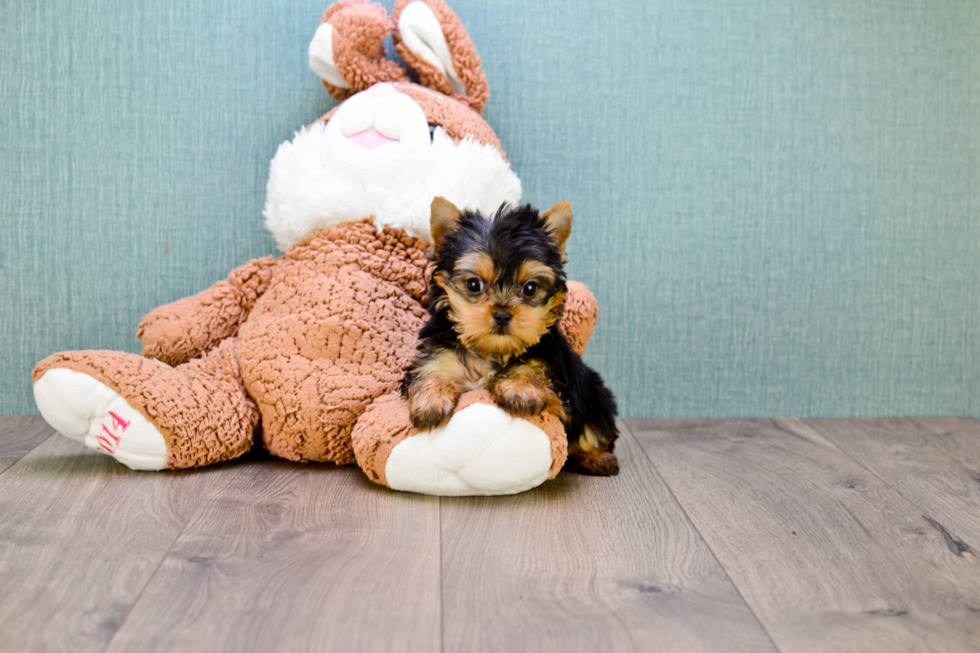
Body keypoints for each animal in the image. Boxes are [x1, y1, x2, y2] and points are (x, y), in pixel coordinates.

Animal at [400, 197, 620, 474]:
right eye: (474, 285)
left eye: (530, 288)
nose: (503, 314)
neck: (493, 350)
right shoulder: (440, 353)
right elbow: (432, 372)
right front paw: (431, 400)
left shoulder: (557, 378)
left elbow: (534, 374)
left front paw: (520, 388)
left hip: (594, 394)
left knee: (594, 429)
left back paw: (597, 458)